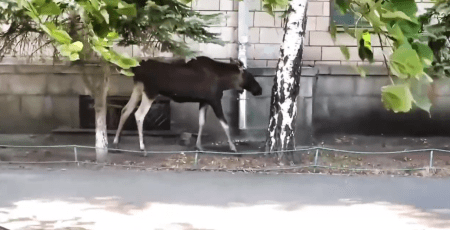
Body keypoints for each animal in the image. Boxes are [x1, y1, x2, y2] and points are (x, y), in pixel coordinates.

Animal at [111, 56, 264, 155]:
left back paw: (116, 142)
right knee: (139, 114)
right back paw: (142, 148)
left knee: (125, 110)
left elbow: (201, 122)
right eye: (250, 75)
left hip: (138, 89)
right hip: (150, 91)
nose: (259, 89)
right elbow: (225, 124)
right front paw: (233, 147)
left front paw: (199, 146)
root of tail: (136, 69)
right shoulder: (214, 100)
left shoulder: (204, 101)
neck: (224, 81)